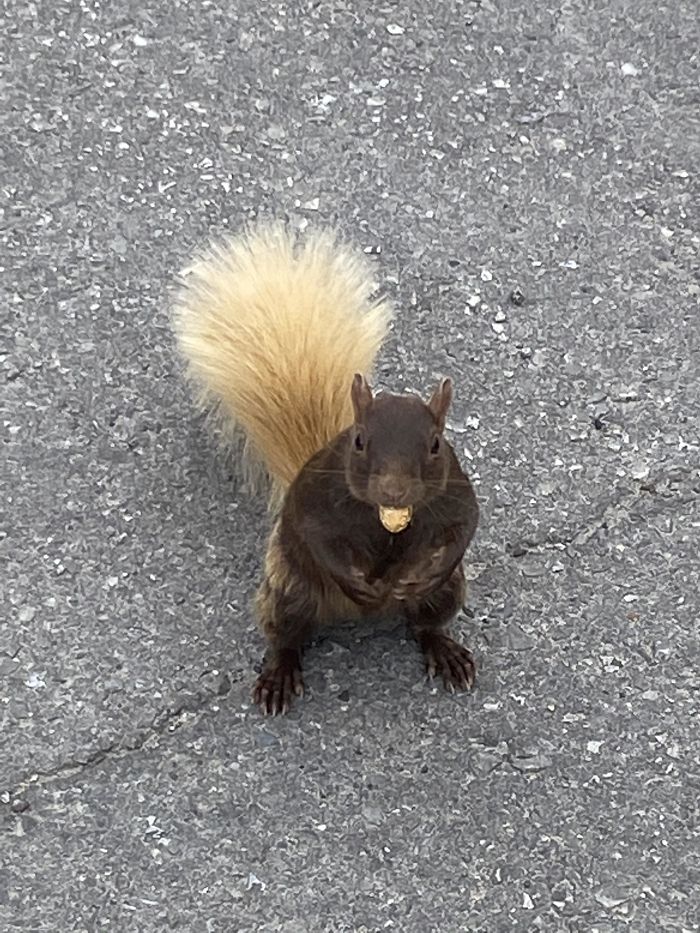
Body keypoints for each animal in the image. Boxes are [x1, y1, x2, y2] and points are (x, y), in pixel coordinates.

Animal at [173, 222, 479, 714]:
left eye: (435, 444)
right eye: (358, 440)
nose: (393, 490)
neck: (386, 522)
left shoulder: (457, 496)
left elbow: (460, 533)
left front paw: (421, 573)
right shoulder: (313, 499)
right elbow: (319, 539)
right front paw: (356, 579)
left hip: (446, 595)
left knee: (425, 625)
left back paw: (444, 650)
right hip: (287, 590)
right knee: (287, 635)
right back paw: (279, 674)